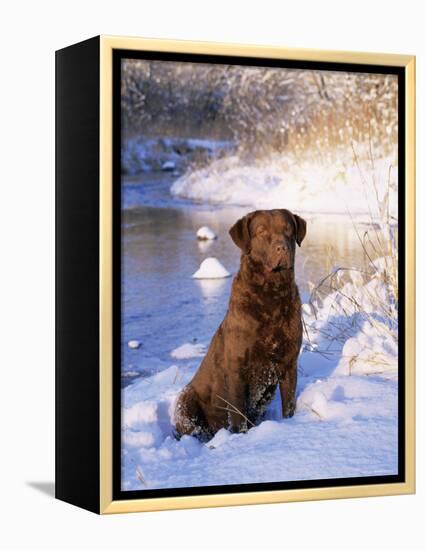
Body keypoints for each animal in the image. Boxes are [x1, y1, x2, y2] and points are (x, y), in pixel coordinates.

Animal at [174, 209, 306, 442]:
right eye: (261, 231)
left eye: (288, 228)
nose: (282, 247)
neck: (272, 297)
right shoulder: (237, 369)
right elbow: (237, 414)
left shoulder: (289, 363)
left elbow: (289, 405)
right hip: (185, 400)